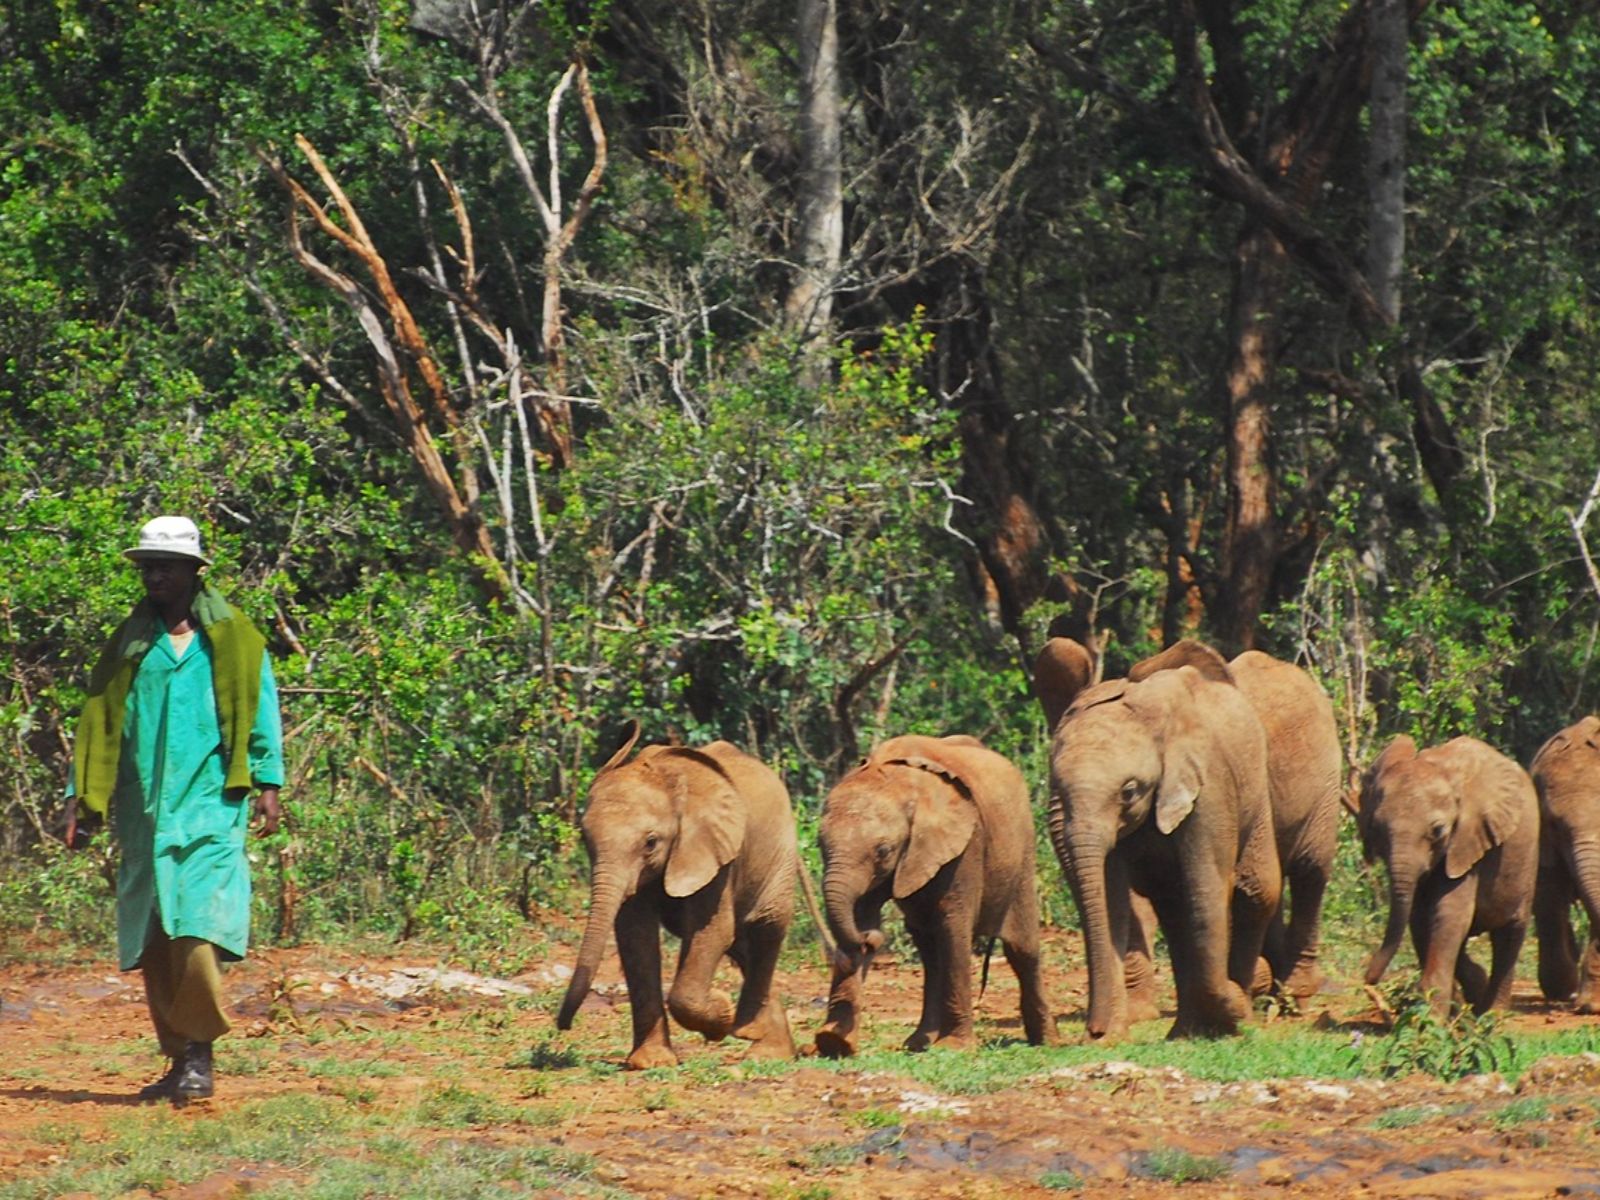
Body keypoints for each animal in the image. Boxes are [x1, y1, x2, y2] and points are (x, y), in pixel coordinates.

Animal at [555, 726, 797, 1069]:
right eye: (585, 840)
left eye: (651, 842)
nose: (563, 1026)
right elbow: (636, 937)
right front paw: (651, 1062)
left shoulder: (716, 851)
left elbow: (712, 932)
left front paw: (720, 1014)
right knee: (741, 944)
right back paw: (770, 1051)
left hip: (780, 851)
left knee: (766, 927)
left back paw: (753, 1038)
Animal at [812, 734, 1054, 1057]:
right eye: (819, 844)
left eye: (884, 850)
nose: (871, 940)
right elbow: (862, 914)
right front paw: (833, 1043)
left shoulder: (965, 845)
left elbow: (954, 925)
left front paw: (955, 1048)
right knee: (930, 950)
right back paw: (918, 1043)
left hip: (1023, 850)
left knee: (1021, 949)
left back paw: (1047, 1041)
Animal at [1033, 638, 1282, 1041]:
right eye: (1057, 783)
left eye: (1129, 791)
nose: (1093, 1032)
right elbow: (1111, 899)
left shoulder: (1209, 786)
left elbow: (1206, 889)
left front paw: (1234, 1014)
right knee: (1173, 907)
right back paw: (1186, 1031)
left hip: (1256, 790)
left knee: (1256, 891)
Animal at [1357, 735, 1538, 1017]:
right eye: (1376, 829)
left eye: (1439, 831)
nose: (1370, 983)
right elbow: (1422, 919)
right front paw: (1453, 1007)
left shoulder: (1468, 840)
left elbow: (1450, 914)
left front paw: (1433, 1018)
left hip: (1527, 861)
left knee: (1509, 934)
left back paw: (1493, 1014)